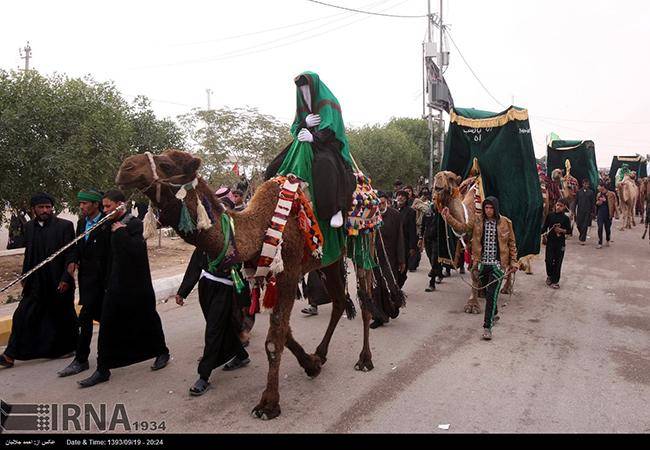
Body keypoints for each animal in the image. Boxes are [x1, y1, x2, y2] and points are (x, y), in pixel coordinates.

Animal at [114, 149, 372, 420]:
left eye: (165, 164)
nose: (126, 168)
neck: (259, 229)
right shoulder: (265, 275)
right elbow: (284, 333)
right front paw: (311, 365)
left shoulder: (288, 274)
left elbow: (274, 340)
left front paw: (268, 404)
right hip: (329, 260)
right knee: (339, 300)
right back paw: (321, 354)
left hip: (363, 241)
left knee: (365, 300)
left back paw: (365, 360)